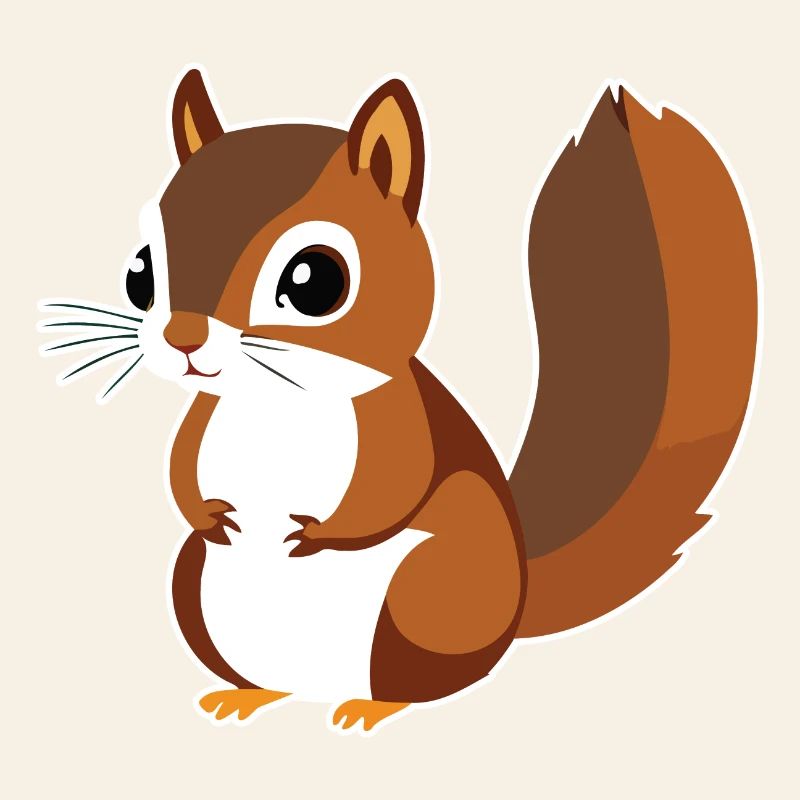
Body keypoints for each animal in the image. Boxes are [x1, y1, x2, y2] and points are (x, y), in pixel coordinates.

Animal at [39, 67, 758, 733]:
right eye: (140, 271)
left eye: (315, 279)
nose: (182, 337)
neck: (273, 403)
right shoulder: (203, 419)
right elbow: (180, 472)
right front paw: (210, 514)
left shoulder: (399, 421)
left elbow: (392, 488)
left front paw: (315, 534)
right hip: (194, 587)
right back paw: (247, 694)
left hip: (429, 595)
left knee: (418, 680)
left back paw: (372, 706)